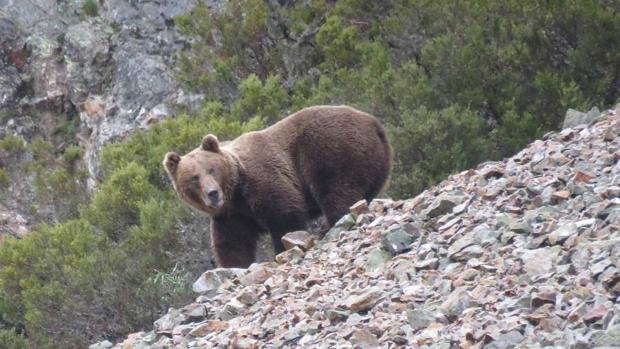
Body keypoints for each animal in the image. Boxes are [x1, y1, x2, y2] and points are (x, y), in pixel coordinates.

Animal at [162, 104, 390, 266]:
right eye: (194, 177)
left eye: (211, 169)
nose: (213, 193)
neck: (236, 192)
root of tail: (374, 123)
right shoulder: (232, 214)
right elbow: (232, 243)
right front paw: (235, 266)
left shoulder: (263, 180)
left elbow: (284, 216)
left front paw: (284, 249)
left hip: (332, 150)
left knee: (337, 191)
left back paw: (331, 224)